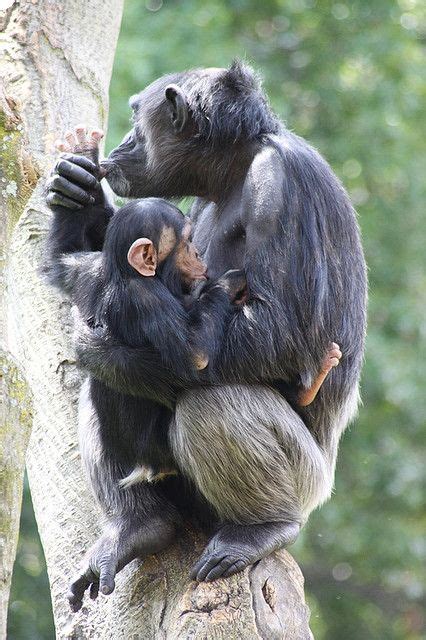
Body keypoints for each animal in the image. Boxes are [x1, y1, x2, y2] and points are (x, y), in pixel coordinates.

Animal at [45, 61, 366, 600]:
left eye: (137, 118)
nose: (123, 141)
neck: (234, 172)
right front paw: (78, 191)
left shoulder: (281, 186)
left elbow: (278, 332)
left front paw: (106, 349)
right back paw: (136, 526)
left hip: (306, 480)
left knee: (210, 401)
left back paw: (260, 529)